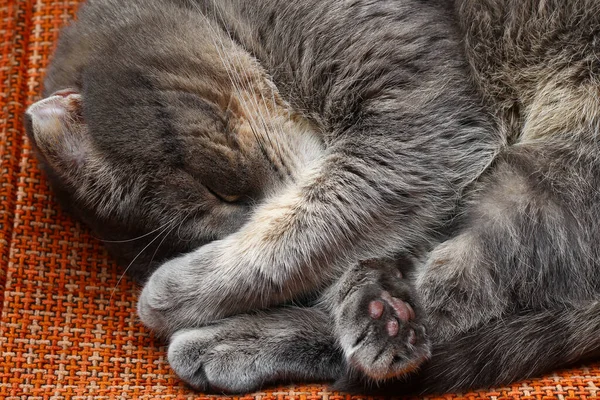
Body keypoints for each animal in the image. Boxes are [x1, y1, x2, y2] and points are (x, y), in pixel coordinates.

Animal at [25, 0, 600, 396]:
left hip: (539, 182)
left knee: (455, 298)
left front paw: (167, 295)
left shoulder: (417, 126)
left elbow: (301, 231)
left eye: (220, 188)